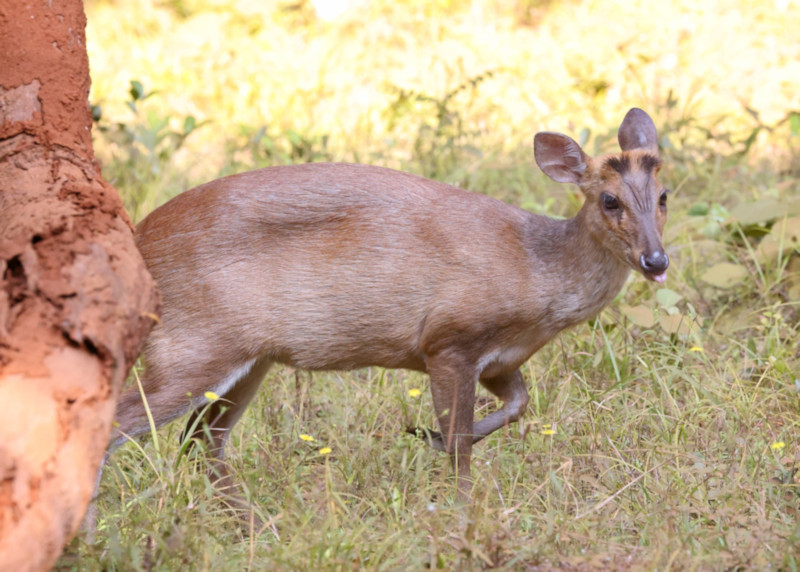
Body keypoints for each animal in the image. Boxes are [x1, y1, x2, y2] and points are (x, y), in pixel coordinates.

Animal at [108, 107, 668, 504]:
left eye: (664, 195)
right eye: (609, 200)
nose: (656, 260)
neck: (537, 270)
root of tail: (138, 240)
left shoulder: (498, 360)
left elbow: (517, 405)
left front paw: (427, 437)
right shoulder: (448, 339)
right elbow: (461, 445)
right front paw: (460, 505)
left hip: (247, 356)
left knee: (203, 438)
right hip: (192, 344)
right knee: (122, 421)